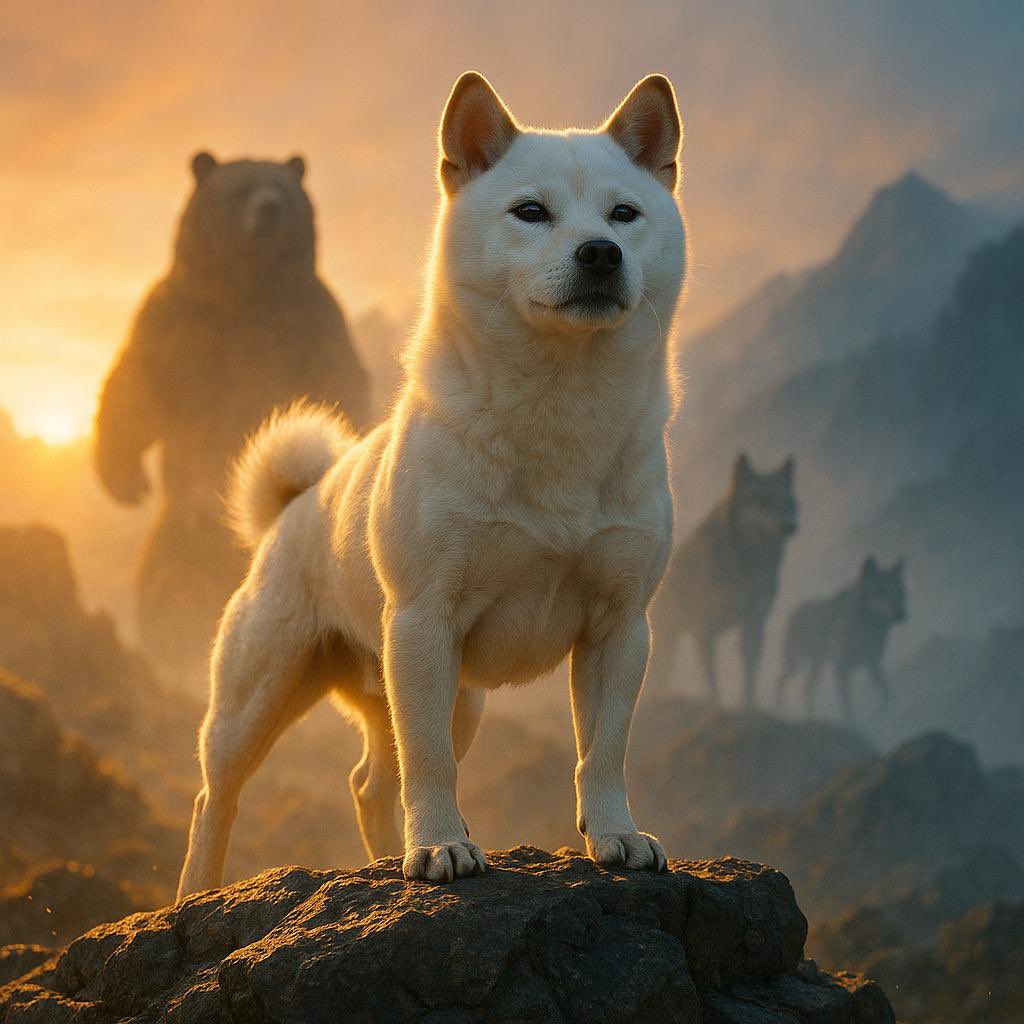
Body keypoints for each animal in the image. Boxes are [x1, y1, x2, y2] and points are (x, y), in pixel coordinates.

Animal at [94, 151, 370, 684]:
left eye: (282, 191)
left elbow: (340, 385)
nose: (268, 211)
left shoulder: (312, 324)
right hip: (180, 535)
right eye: (240, 188)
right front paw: (125, 481)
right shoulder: (175, 316)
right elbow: (136, 386)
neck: (248, 287)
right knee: (165, 589)